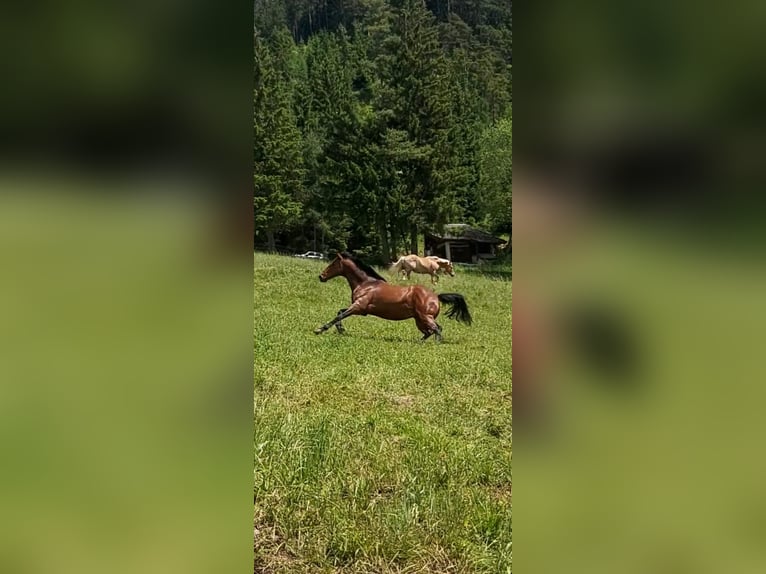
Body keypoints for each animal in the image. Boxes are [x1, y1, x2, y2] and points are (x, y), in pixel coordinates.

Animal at [314, 253, 472, 342]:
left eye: (333, 264)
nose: (321, 277)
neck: (366, 284)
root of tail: (435, 296)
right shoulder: (360, 309)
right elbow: (340, 313)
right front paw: (341, 329)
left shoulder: (358, 307)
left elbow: (338, 315)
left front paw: (320, 330)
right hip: (419, 320)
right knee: (429, 332)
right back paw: (418, 343)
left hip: (425, 317)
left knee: (437, 329)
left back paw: (434, 344)